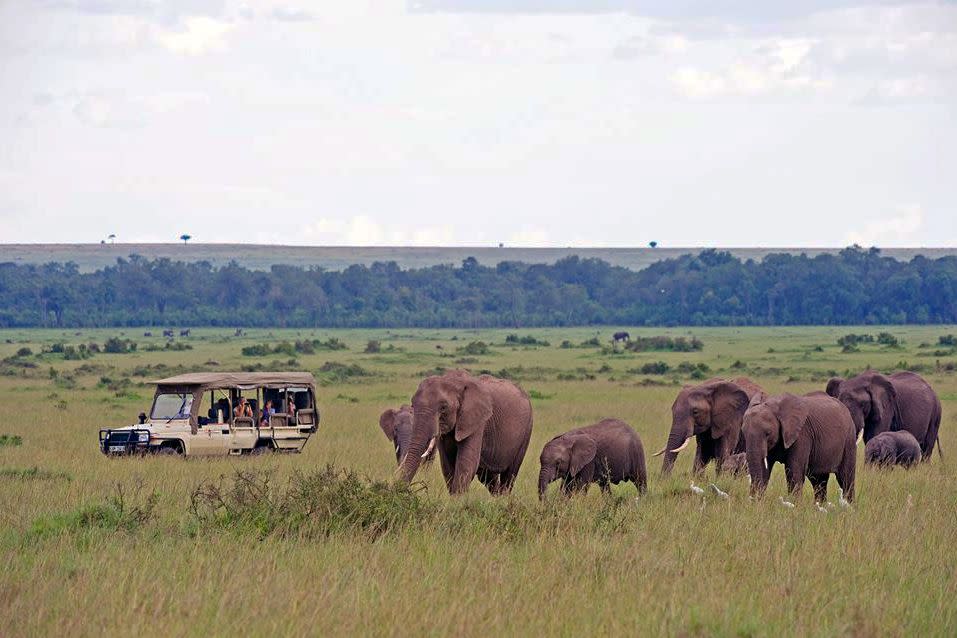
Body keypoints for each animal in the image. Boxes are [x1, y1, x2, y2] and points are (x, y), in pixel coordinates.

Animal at [394, 370, 532, 500]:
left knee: (509, 475)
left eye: (443, 408)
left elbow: (466, 463)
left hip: (527, 430)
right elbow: (448, 465)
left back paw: (503, 499)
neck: (455, 381)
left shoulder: (476, 421)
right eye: (412, 405)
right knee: (487, 477)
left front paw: (456, 502)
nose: (401, 492)